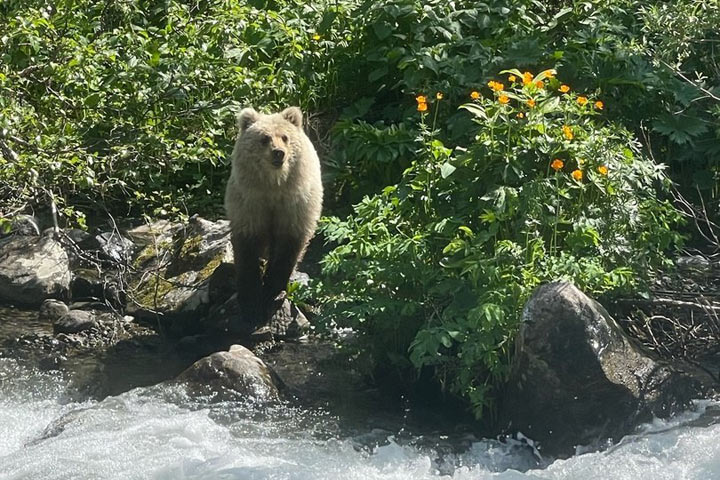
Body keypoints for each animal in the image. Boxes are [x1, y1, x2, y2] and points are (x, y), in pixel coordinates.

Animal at [224, 108, 322, 326]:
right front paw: (251, 303)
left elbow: (287, 248)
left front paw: (271, 291)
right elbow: (247, 250)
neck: (274, 185)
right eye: (264, 138)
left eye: (285, 137)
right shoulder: (249, 203)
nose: (278, 152)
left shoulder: (294, 206)